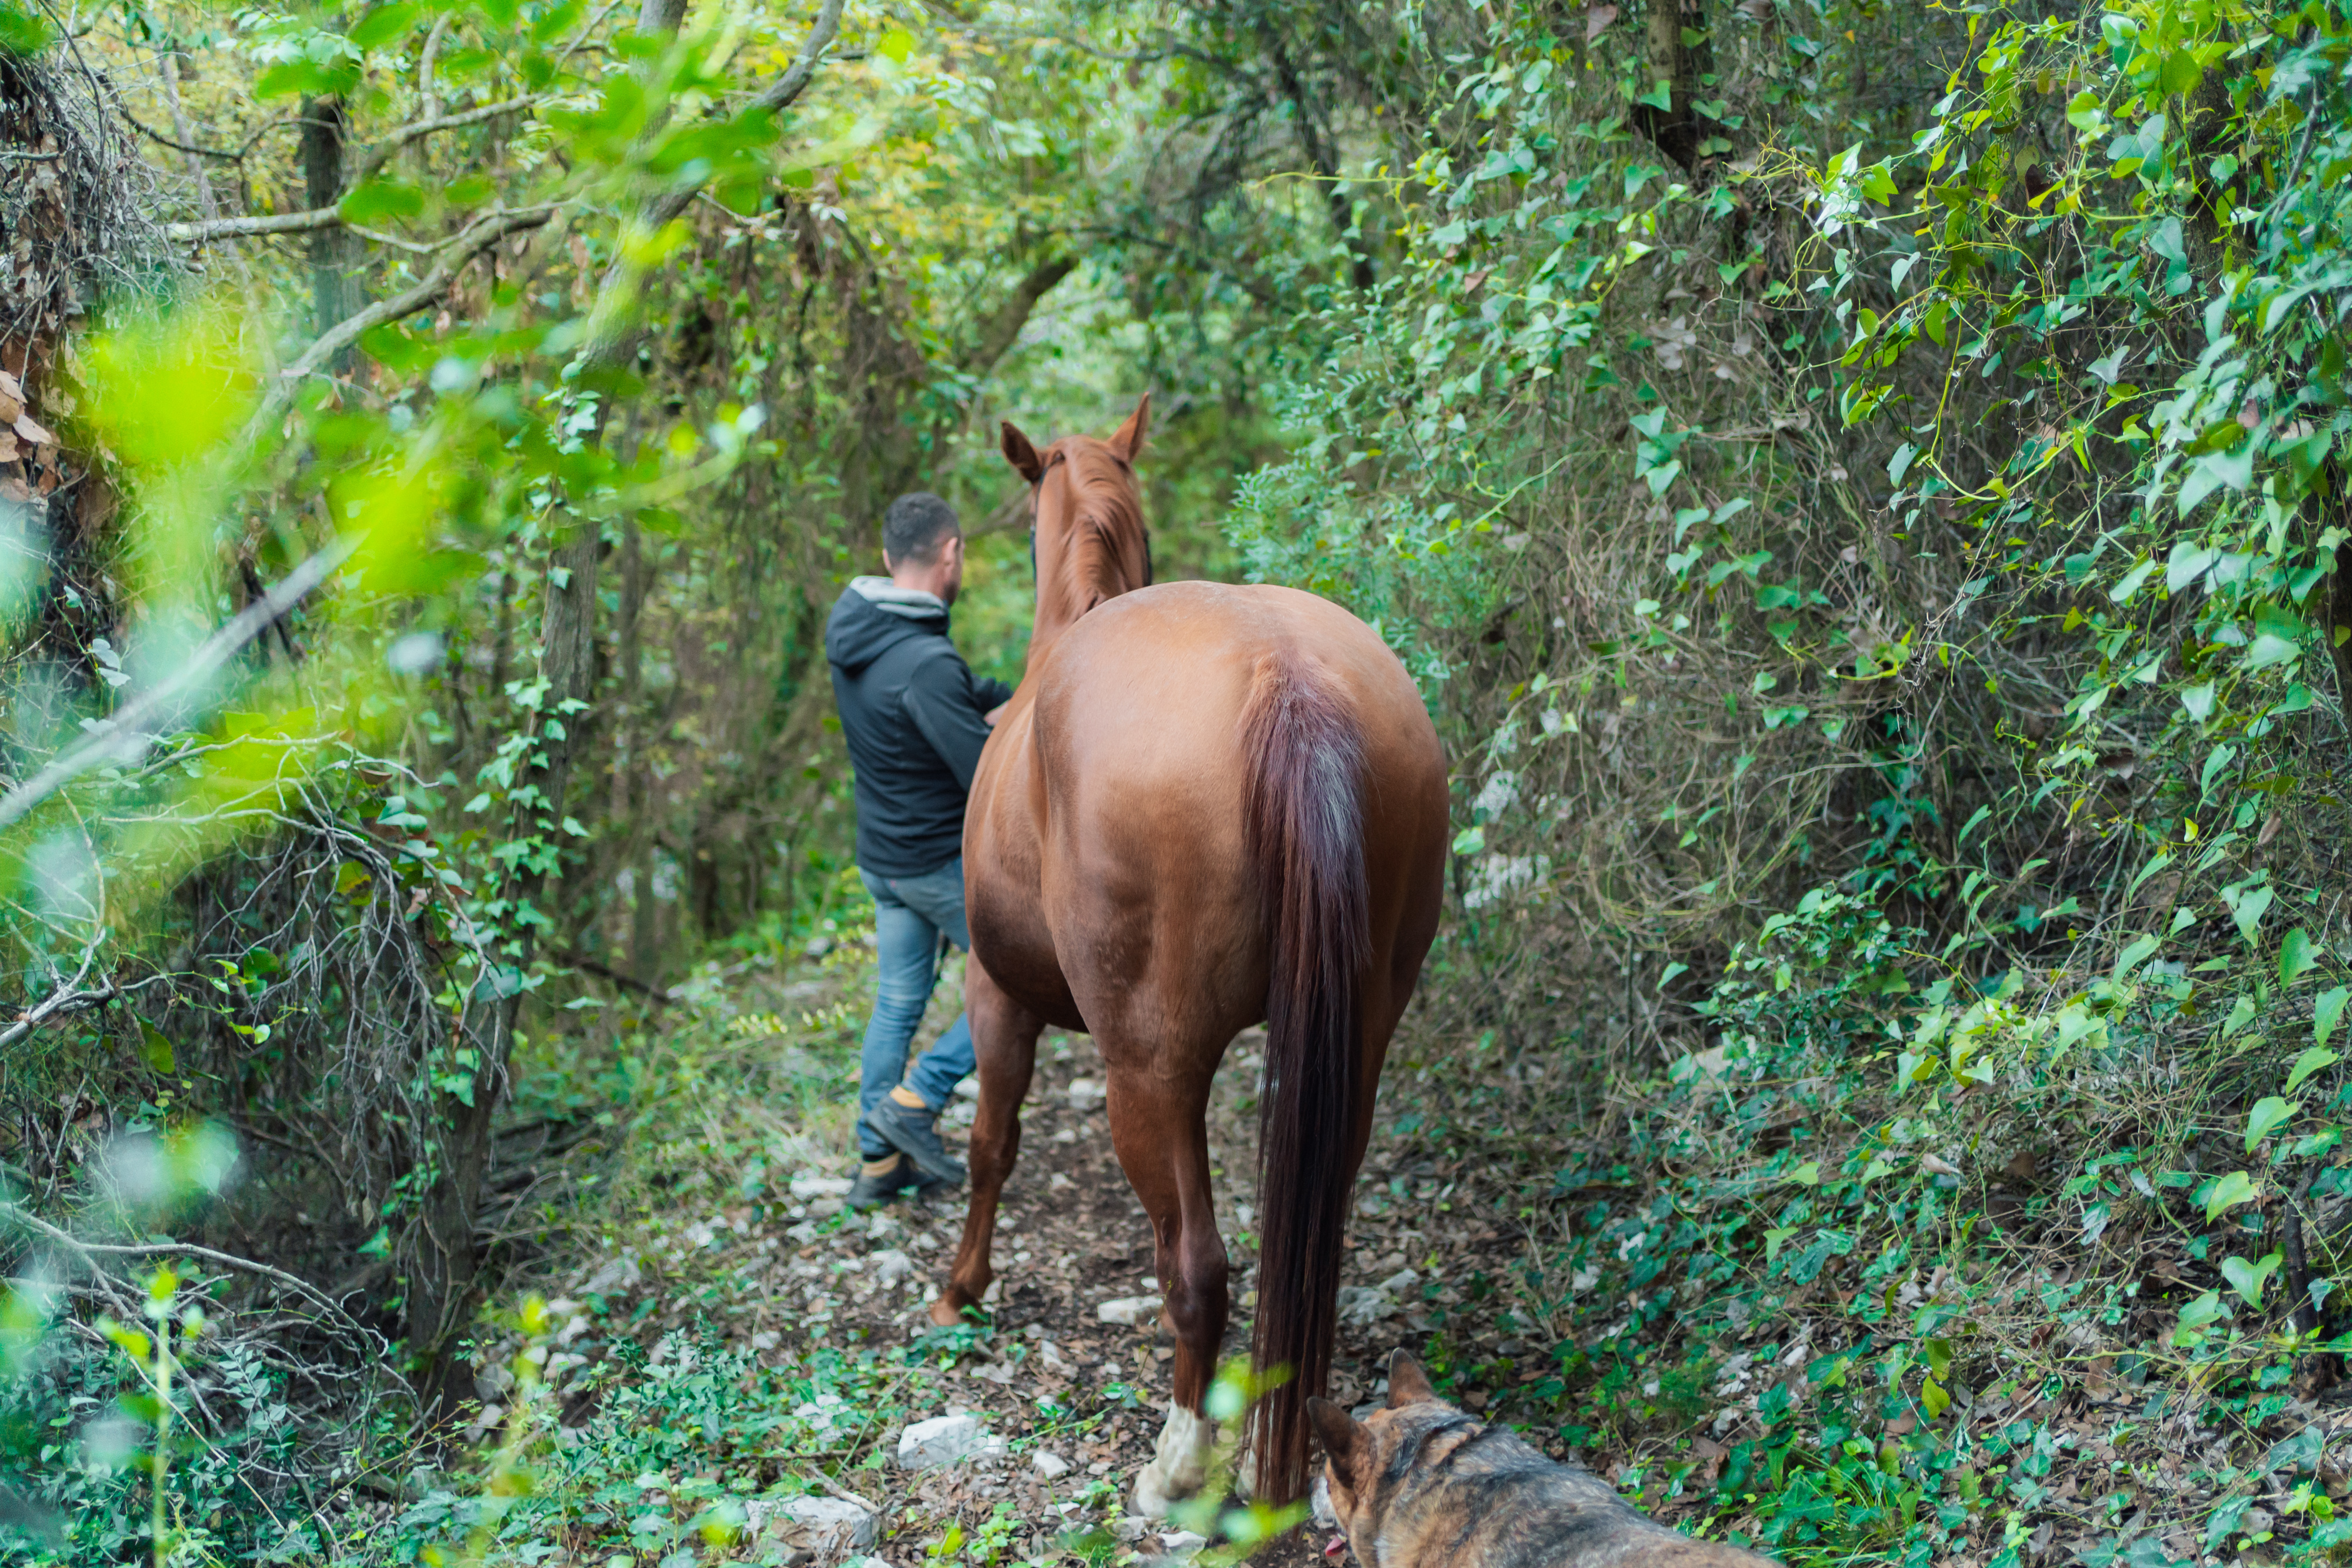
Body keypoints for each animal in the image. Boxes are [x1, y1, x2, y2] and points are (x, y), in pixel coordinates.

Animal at [927, 393, 1449, 1511]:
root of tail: (1285, 675)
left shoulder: (997, 995)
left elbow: (993, 1144)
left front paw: (961, 1288)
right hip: (1357, 1042)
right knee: (1311, 1228)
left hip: (1149, 1066)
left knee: (1201, 1265)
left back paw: (1177, 1464)